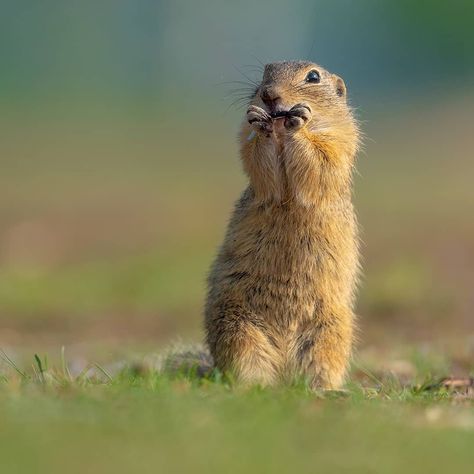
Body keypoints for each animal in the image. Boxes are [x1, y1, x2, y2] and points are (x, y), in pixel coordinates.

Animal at [204, 60, 360, 388]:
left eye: (313, 77)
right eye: (266, 71)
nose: (268, 94)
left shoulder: (339, 140)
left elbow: (321, 160)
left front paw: (297, 122)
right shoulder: (248, 144)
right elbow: (258, 161)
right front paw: (260, 121)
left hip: (330, 334)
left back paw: (325, 390)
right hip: (238, 328)